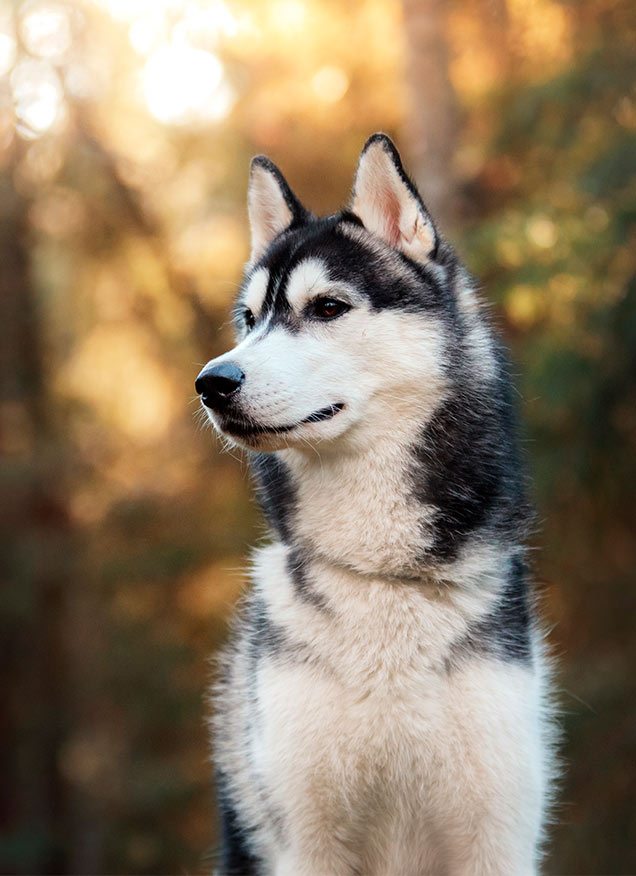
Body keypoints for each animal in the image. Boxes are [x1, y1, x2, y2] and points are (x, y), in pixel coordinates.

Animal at [196, 134, 556, 875]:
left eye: (327, 308)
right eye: (249, 319)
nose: (212, 381)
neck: (384, 577)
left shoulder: (497, 835)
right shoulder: (306, 842)